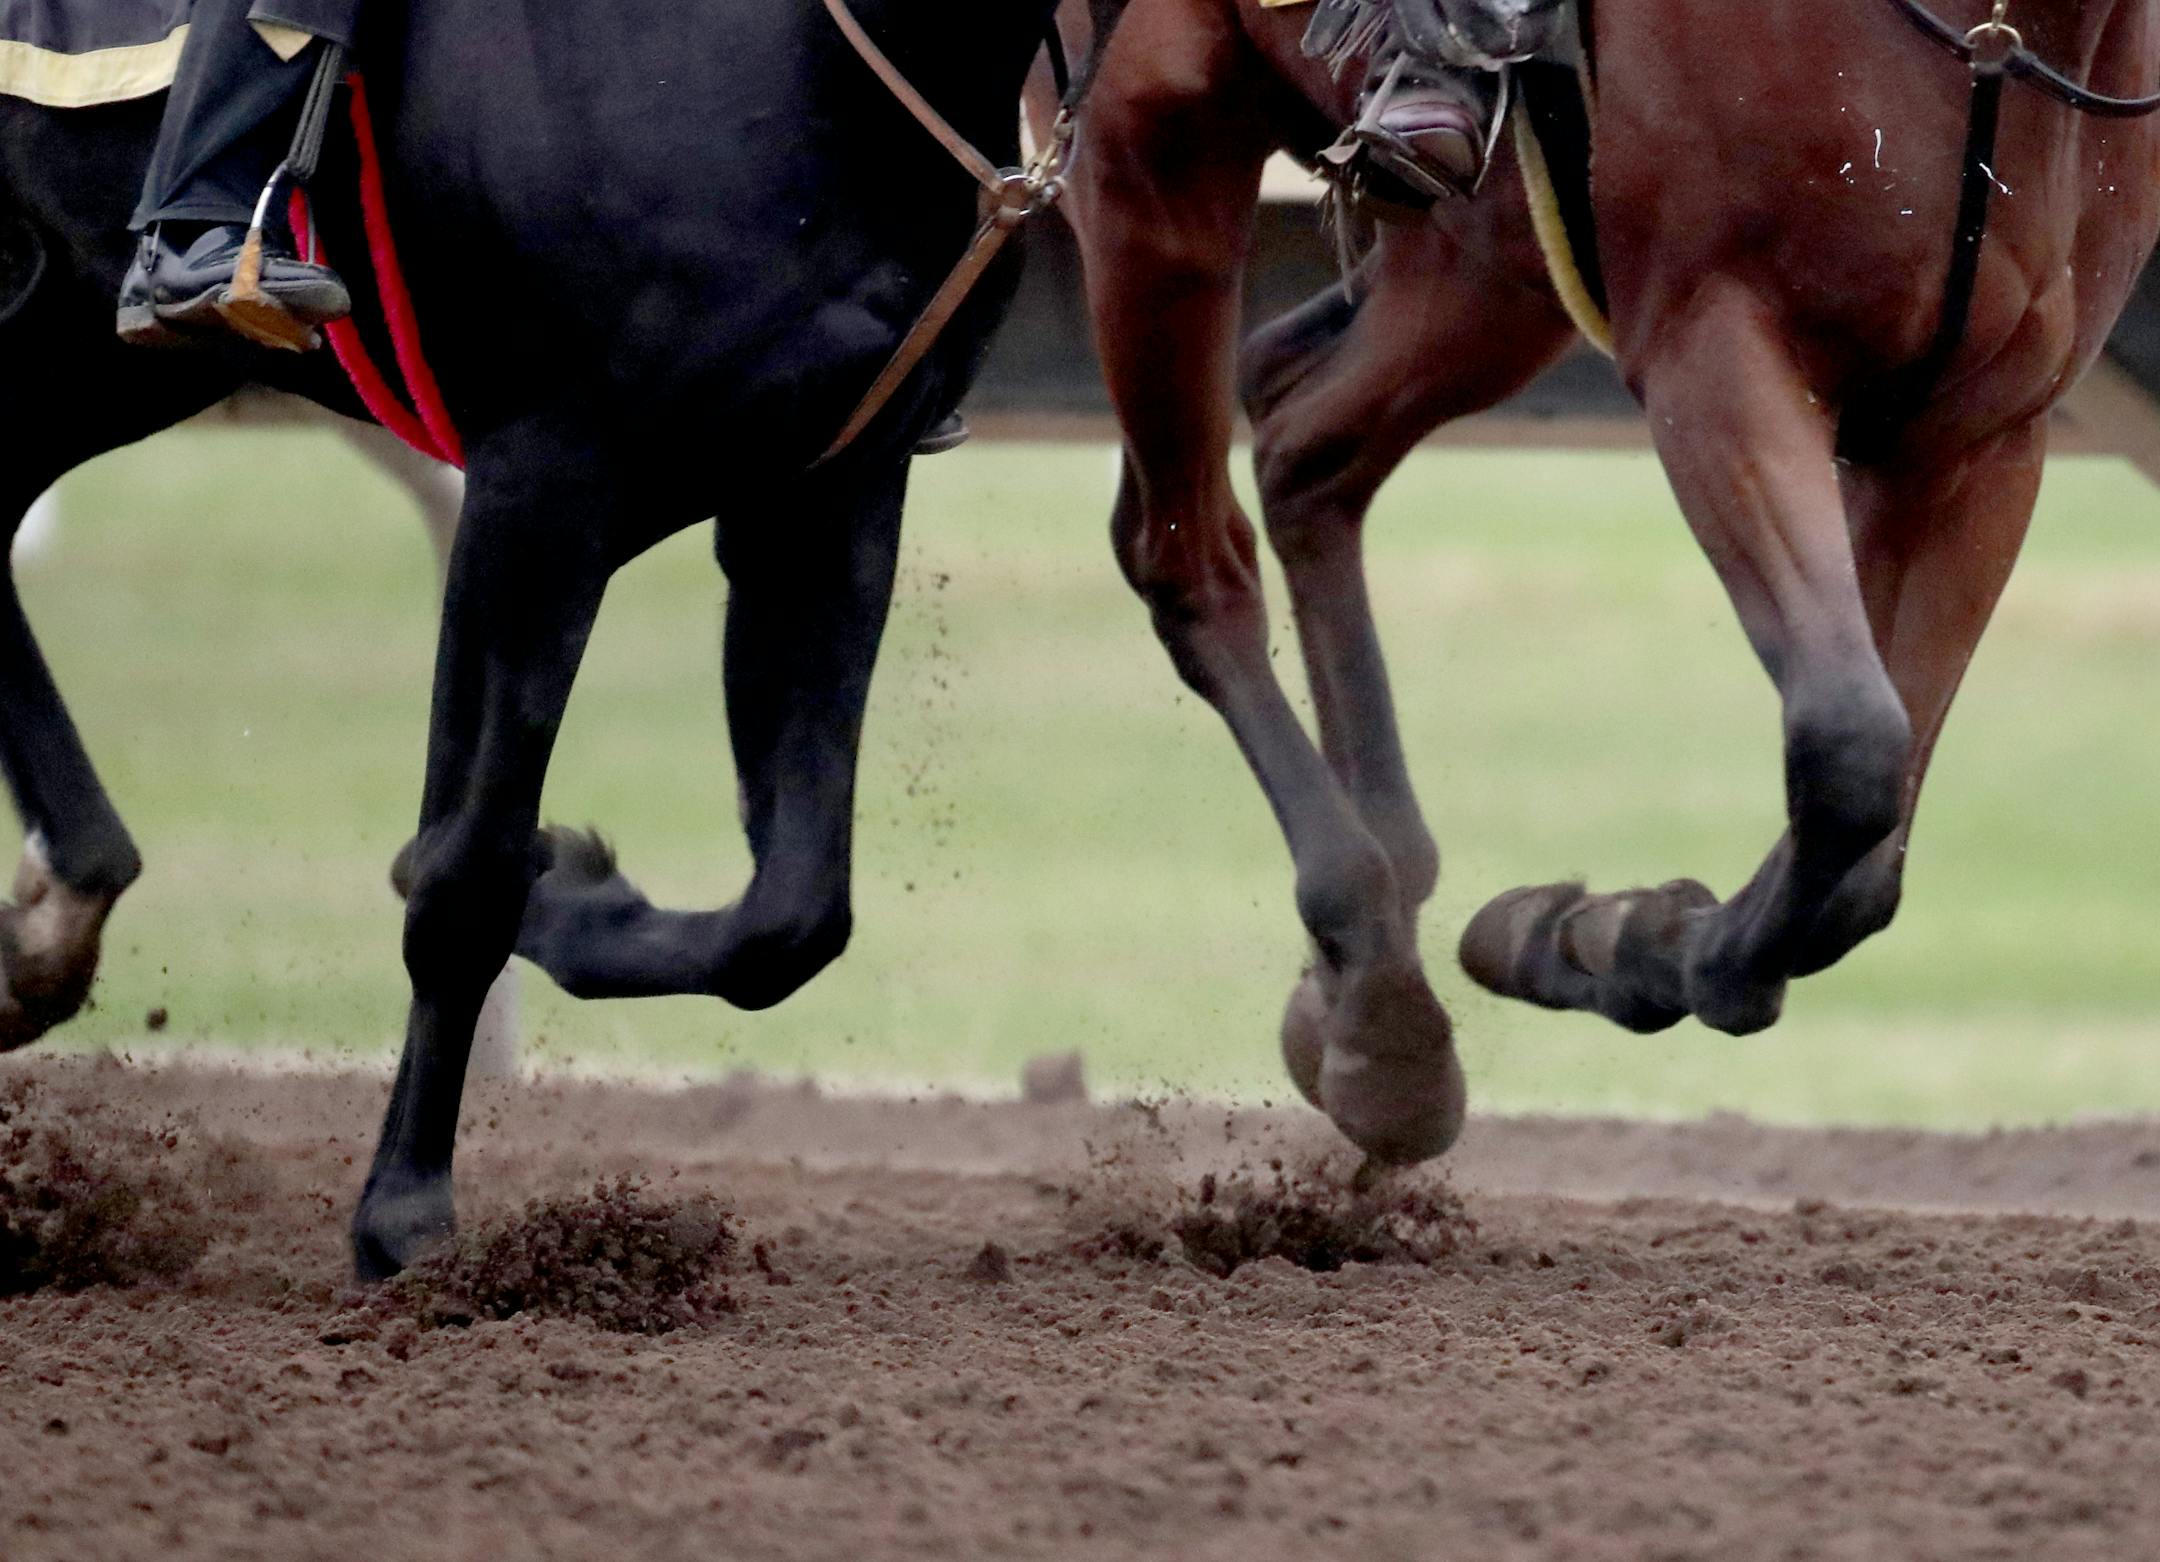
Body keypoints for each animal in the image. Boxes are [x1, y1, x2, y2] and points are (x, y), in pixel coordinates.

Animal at [0, 0, 1128, 1278]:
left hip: (88, 344)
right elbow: (466, 872)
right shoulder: (545, 480)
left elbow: (791, 909)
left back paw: (56, 915)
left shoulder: (827, 483)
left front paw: (571, 887)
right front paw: (407, 1212)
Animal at [1054, 0, 2159, 1135]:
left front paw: (1603, 931)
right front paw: (1621, 938)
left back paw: (1369, 938)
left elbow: (1869, 856)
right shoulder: (1716, 348)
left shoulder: (1976, 442)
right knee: (1188, 553)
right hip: (1152, 156)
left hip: (1487, 263)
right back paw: (1375, 996)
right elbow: (1850, 745)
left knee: (1298, 434)